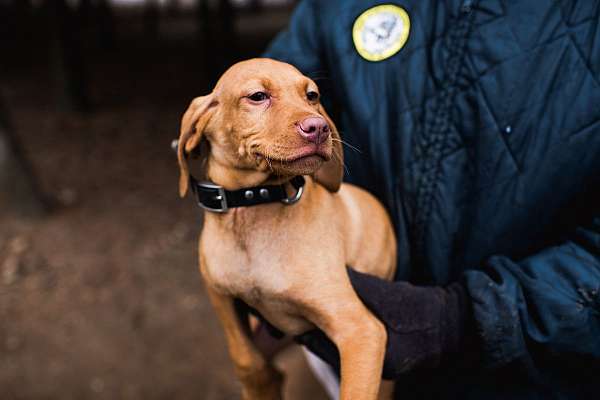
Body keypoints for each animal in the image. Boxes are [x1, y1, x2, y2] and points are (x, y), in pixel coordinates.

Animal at [177, 57, 398, 398]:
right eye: (257, 96)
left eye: (312, 96)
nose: (319, 127)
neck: (256, 206)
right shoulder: (218, 290)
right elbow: (243, 355)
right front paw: (261, 380)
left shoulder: (361, 330)